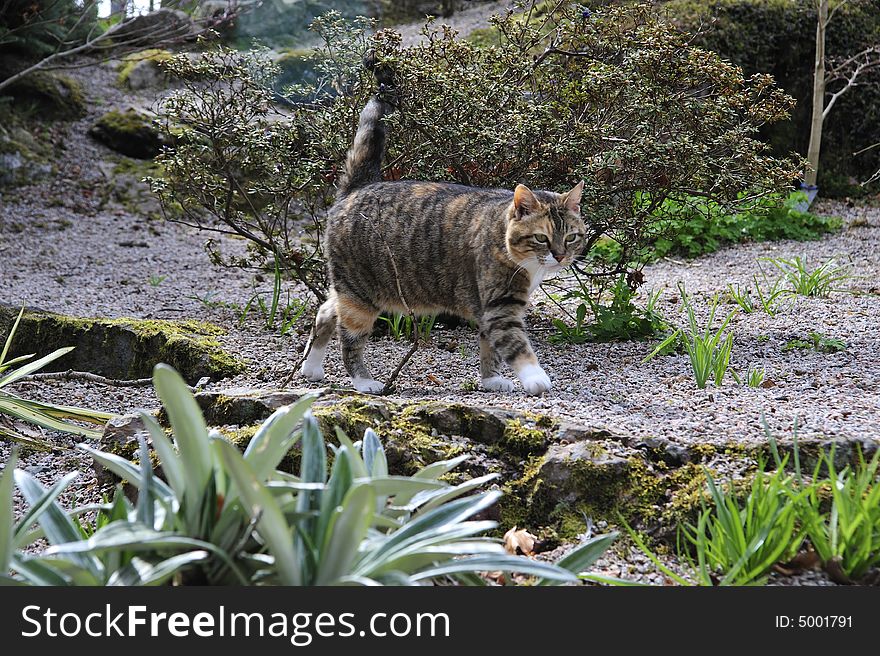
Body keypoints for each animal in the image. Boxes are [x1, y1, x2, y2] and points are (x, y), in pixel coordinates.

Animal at [300, 70, 584, 394]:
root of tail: (357, 187)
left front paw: (491, 380)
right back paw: (363, 380)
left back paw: (310, 367)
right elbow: (515, 345)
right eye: (541, 238)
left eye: (571, 237)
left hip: (350, 291)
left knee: (324, 312)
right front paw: (536, 378)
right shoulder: (500, 307)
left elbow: (489, 348)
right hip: (359, 297)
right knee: (349, 340)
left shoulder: (488, 309)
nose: (560, 256)